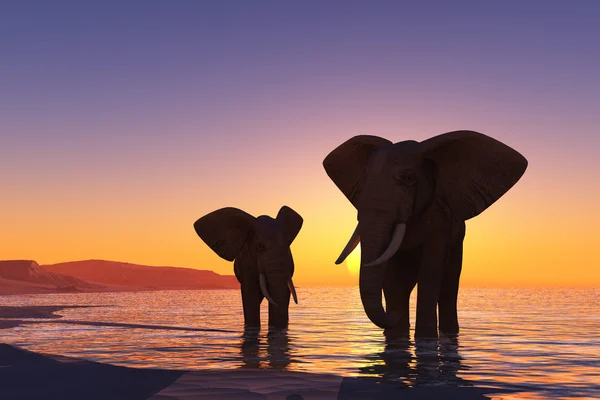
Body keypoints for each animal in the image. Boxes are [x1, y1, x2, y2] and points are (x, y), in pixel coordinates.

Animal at [324, 130, 524, 338]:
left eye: (409, 178)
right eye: (365, 179)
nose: (393, 314)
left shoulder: (439, 218)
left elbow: (431, 270)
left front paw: (425, 339)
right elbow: (390, 273)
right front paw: (397, 336)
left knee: (449, 284)